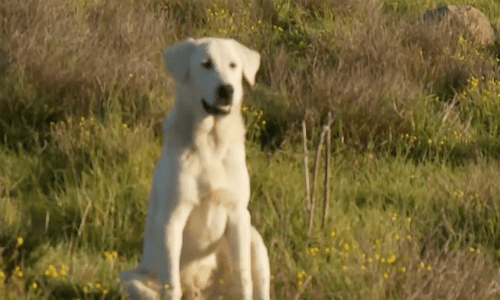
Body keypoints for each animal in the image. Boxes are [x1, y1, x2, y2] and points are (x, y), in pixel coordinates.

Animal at [117, 37, 272, 300]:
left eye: (233, 65)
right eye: (206, 64)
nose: (226, 90)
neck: (211, 143)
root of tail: (202, 292)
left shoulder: (237, 214)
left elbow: (243, 278)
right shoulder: (172, 218)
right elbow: (172, 285)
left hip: (254, 239)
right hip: (131, 277)